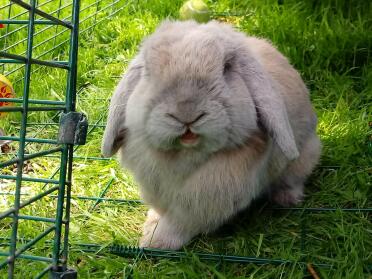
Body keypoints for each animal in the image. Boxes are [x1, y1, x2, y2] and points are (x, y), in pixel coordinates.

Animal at [101, 20, 320, 252]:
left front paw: (155, 242)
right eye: (147, 71)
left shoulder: (203, 200)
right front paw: (151, 224)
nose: (186, 113)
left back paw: (286, 198)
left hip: (304, 156)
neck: (183, 157)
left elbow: (179, 222)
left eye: (227, 67)